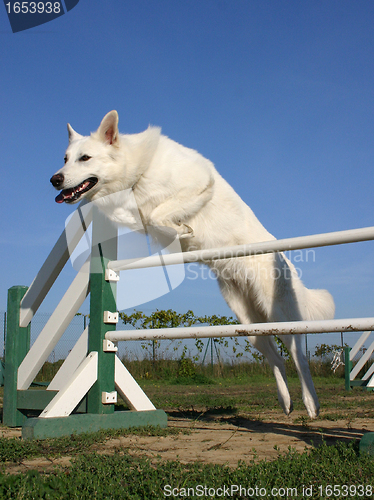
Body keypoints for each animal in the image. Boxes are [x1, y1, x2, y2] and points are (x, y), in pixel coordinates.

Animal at [51, 110, 334, 418]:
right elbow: (146, 218)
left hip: (280, 316)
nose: (55, 179)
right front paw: (177, 231)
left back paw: (311, 403)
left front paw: (182, 230)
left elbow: (159, 215)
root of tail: (285, 262)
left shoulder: (199, 184)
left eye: (85, 158)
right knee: (277, 360)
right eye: (65, 158)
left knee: (299, 357)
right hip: (251, 327)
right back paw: (286, 402)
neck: (139, 169)